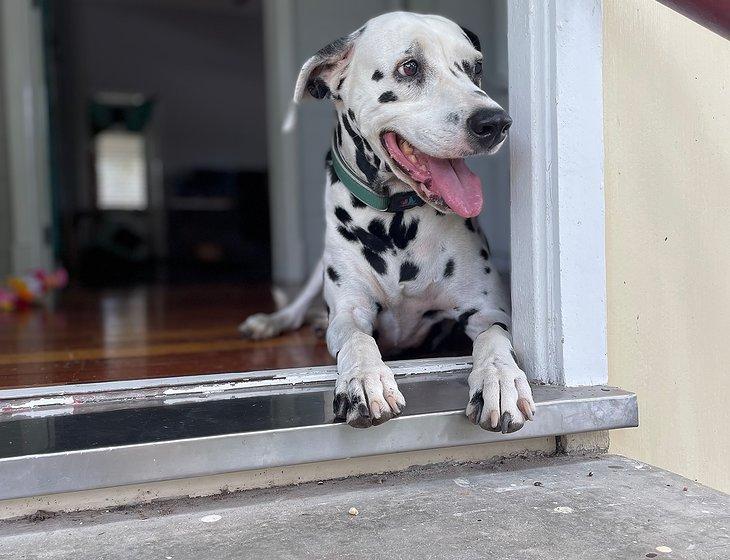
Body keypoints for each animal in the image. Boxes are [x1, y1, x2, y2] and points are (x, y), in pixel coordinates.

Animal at [240, 12, 536, 434]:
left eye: (475, 68)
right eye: (409, 67)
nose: (495, 122)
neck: (396, 225)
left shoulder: (488, 312)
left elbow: (494, 340)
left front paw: (500, 380)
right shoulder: (349, 310)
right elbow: (356, 339)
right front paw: (364, 380)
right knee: (298, 303)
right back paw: (276, 320)